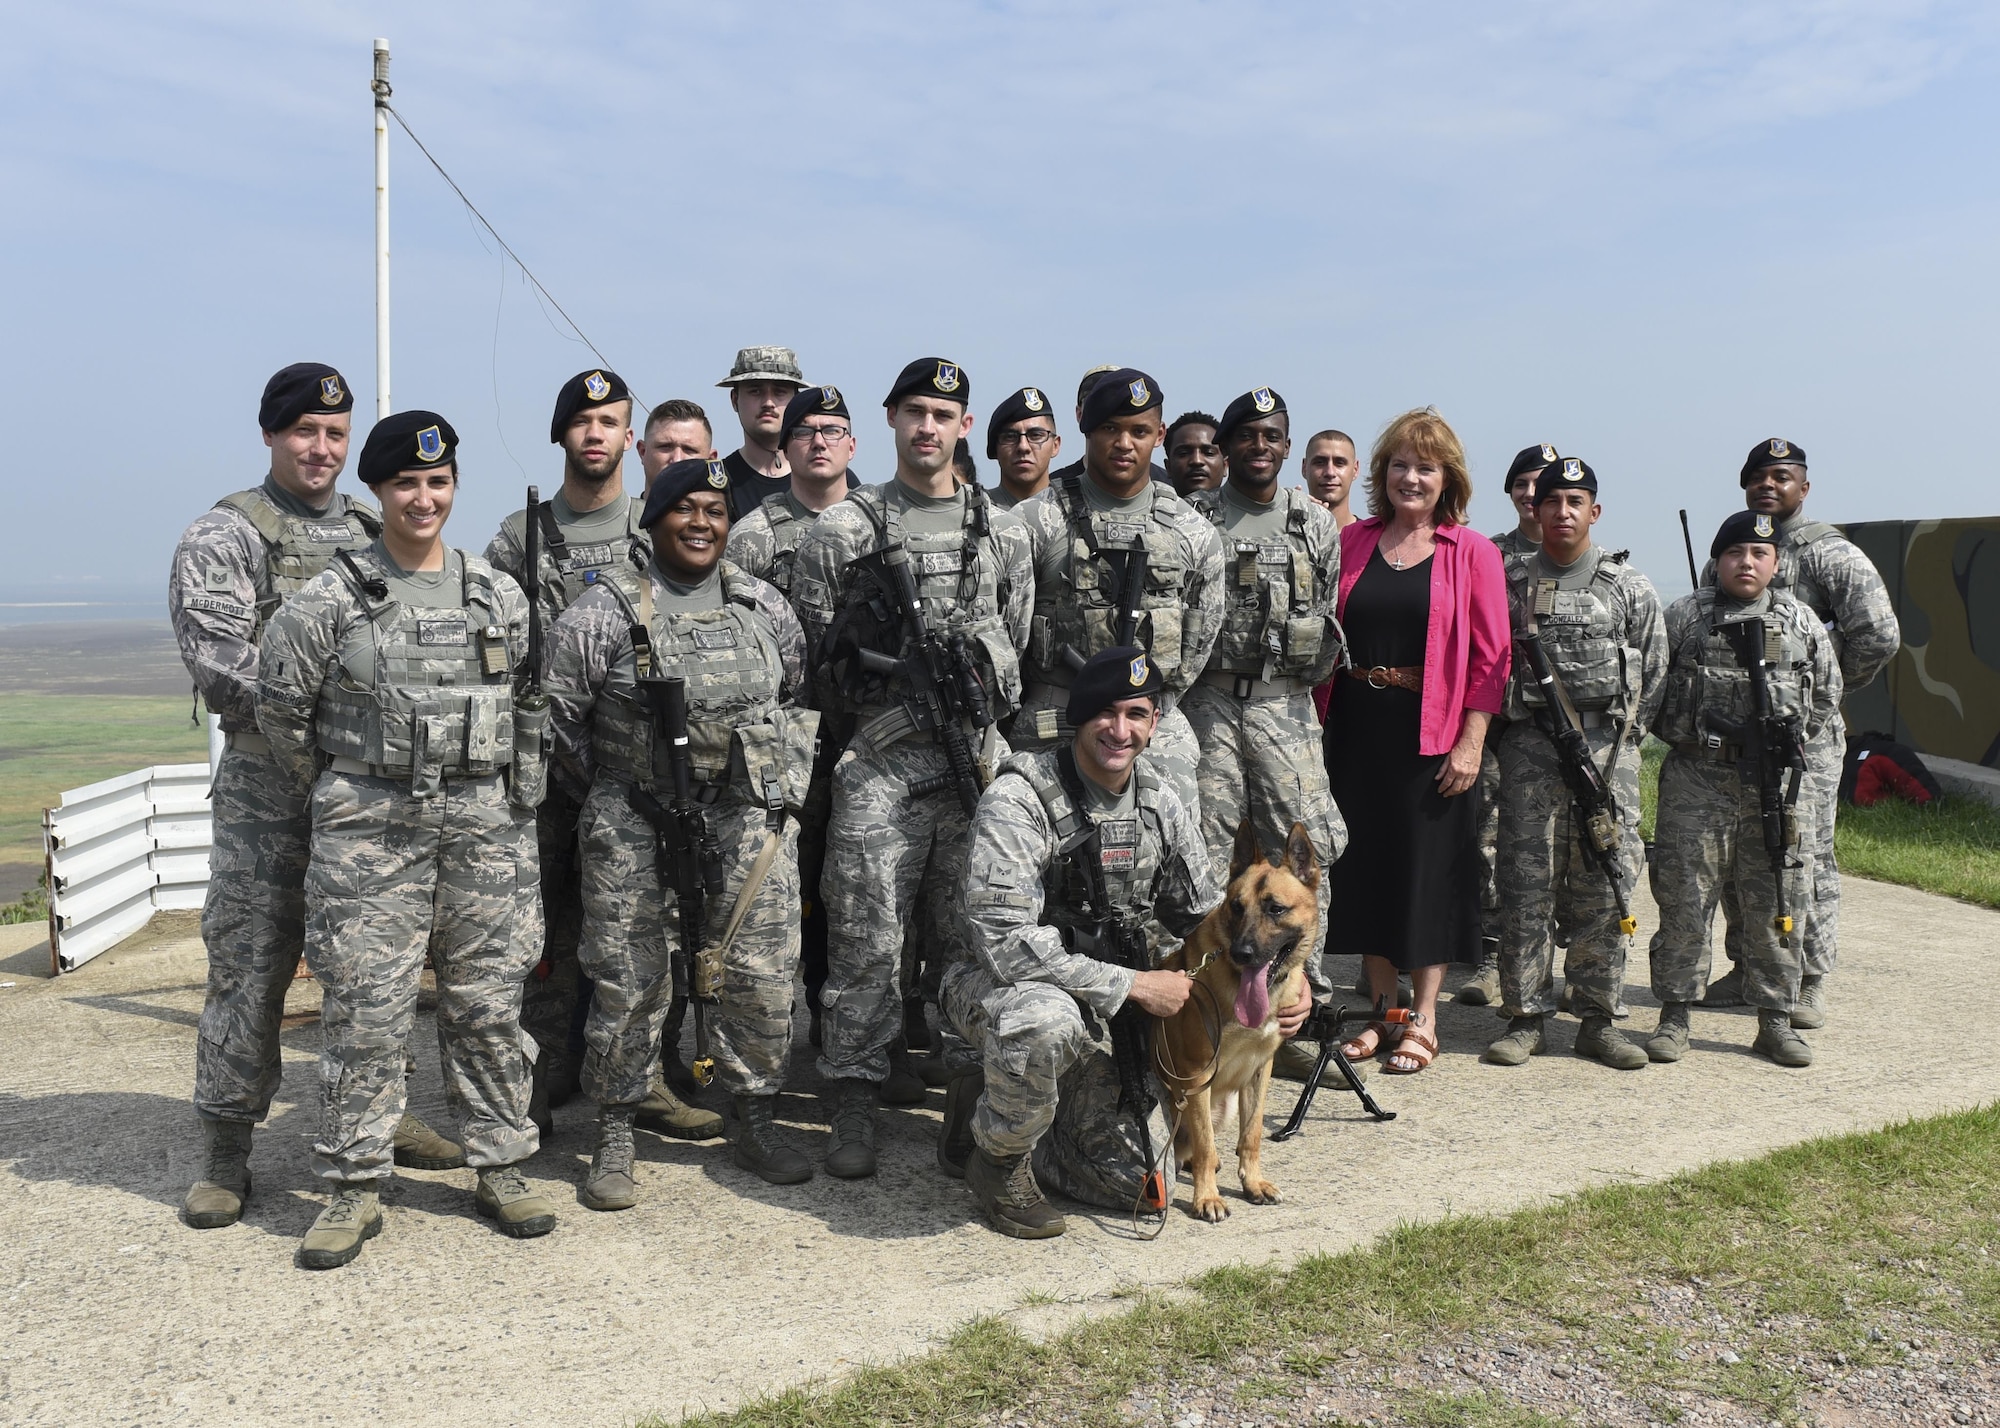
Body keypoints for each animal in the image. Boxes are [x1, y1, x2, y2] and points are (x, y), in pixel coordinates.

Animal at [1152, 816, 1320, 1216]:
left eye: (1275, 909)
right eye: (1237, 907)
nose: (1242, 953)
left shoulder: (1260, 1069)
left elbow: (1252, 1133)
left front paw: (1253, 1182)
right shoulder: (1197, 1076)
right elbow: (1205, 1143)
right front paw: (1207, 1197)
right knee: (1193, 1147)